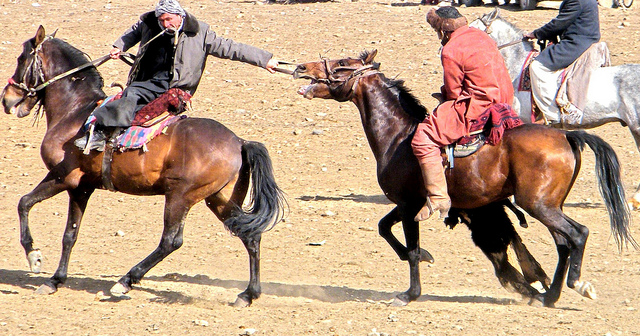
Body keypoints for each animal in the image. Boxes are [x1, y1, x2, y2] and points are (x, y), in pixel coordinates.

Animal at [0, 26, 284, 308]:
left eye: (21, 58)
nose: (7, 99)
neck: (76, 113)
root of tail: (239, 142)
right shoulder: (82, 188)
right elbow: (70, 234)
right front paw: (55, 281)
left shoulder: (62, 178)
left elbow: (24, 203)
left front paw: (34, 257)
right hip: (219, 198)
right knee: (250, 236)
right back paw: (247, 294)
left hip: (180, 197)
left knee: (171, 241)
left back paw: (124, 281)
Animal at [294, 49, 636, 308]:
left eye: (342, 64)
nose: (300, 67)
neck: (399, 136)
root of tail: (567, 136)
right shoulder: (409, 203)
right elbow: (384, 228)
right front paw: (423, 258)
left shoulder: (409, 205)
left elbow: (411, 248)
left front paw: (410, 293)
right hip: (549, 206)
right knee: (563, 243)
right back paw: (548, 295)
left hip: (539, 205)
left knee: (577, 234)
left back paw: (575, 285)